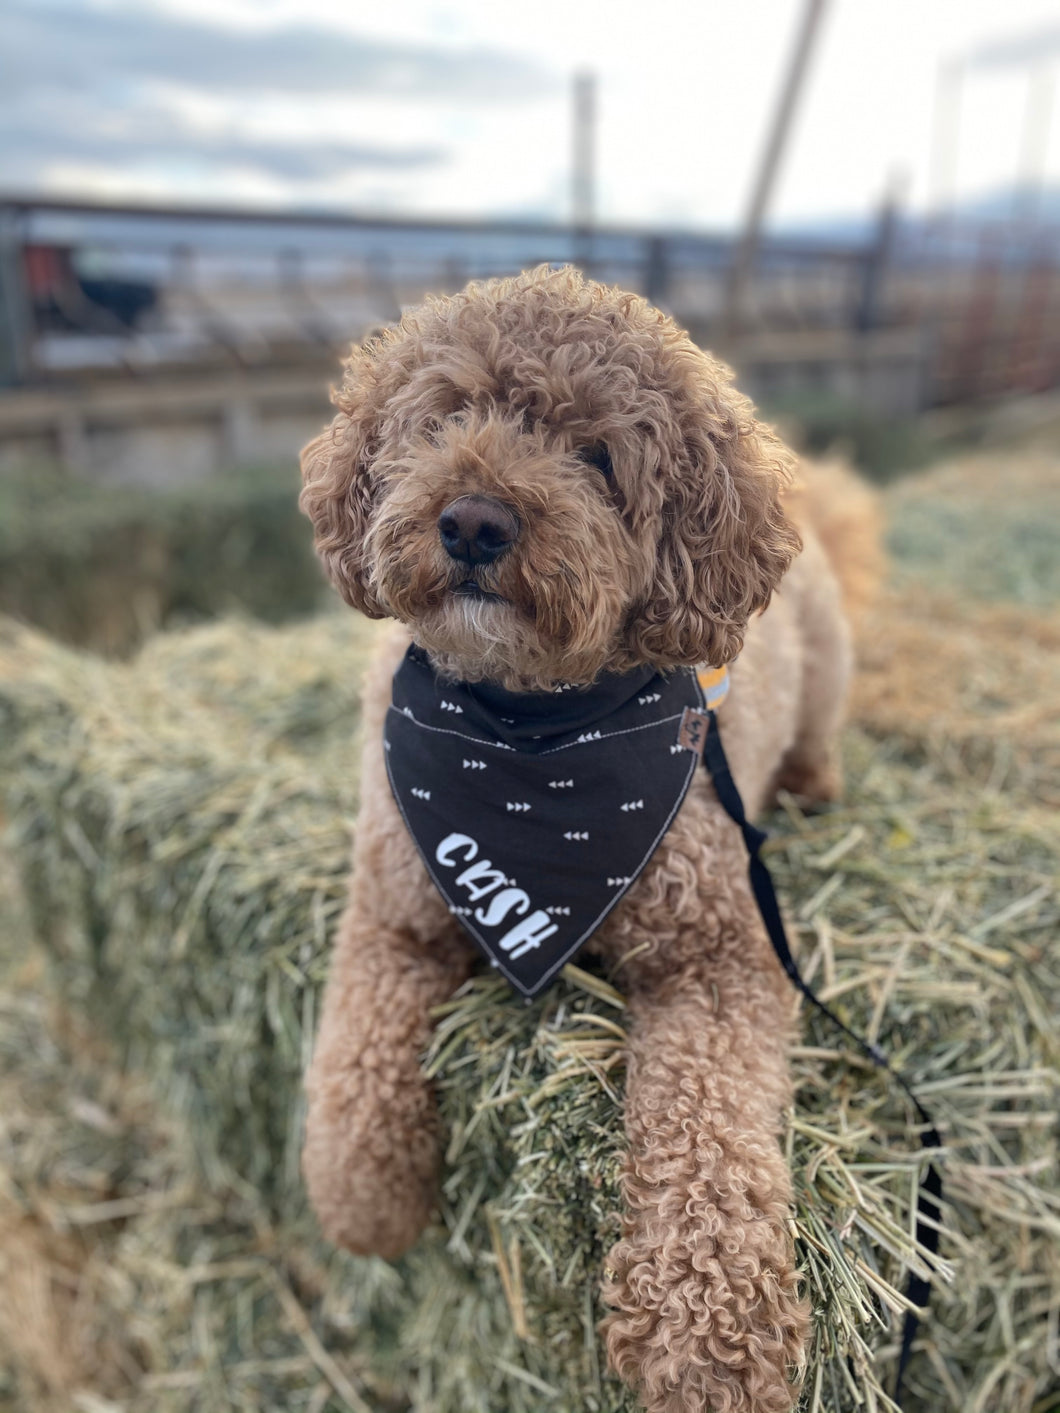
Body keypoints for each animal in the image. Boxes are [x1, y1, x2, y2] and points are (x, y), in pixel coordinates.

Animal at [299, 265, 881, 1413]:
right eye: (444, 418)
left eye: (598, 457)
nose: (474, 520)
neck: (531, 737)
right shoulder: (394, 911)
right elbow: (356, 1060)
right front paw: (364, 1201)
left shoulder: (720, 957)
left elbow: (708, 1131)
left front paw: (708, 1337)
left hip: (825, 673)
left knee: (817, 741)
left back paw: (809, 788)